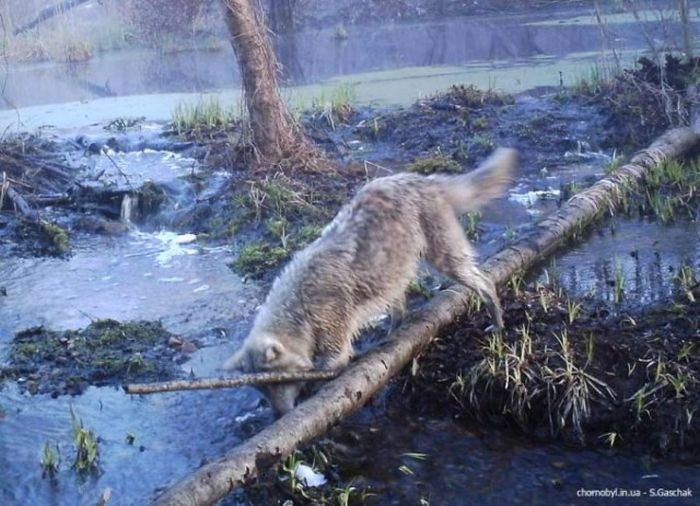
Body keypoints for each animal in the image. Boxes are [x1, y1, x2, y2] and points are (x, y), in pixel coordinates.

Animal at [224, 147, 520, 416]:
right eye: (262, 390)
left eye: (277, 382)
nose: (279, 416)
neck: (299, 306)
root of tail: (422, 179)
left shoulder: (333, 338)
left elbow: (329, 366)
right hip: (393, 270)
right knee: (399, 306)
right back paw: (391, 334)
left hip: (446, 259)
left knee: (484, 282)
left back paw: (497, 319)